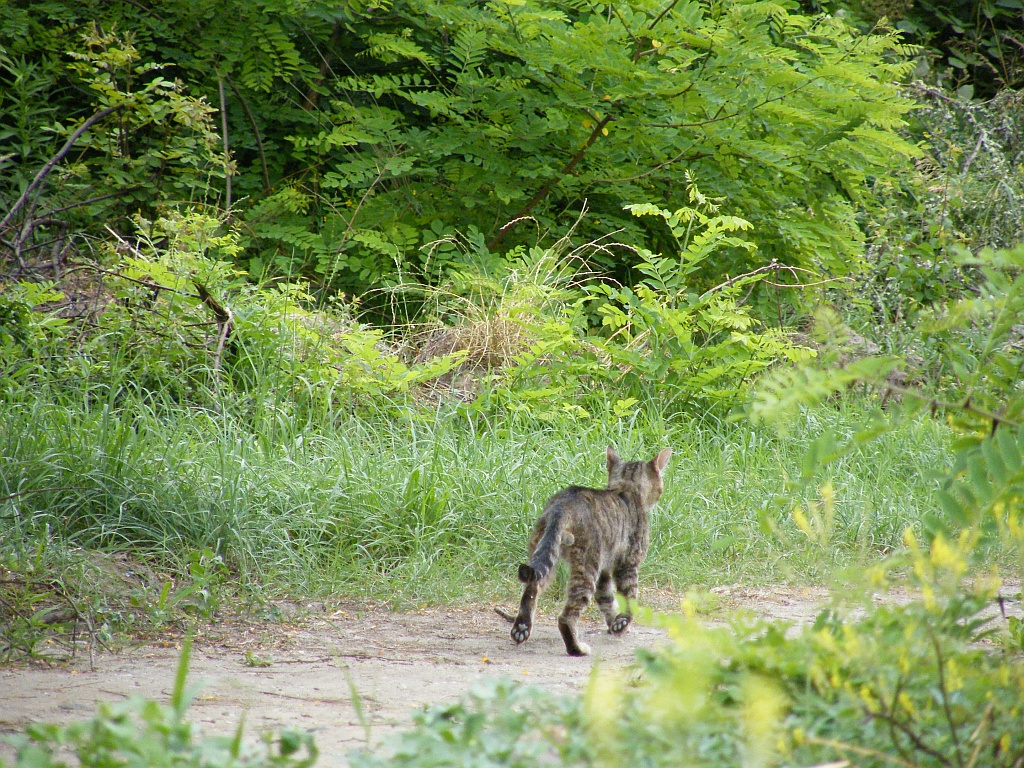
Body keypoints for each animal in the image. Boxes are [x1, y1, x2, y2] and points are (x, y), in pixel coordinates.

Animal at [501, 448, 671, 659]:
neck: (626, 490)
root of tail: (562, 504)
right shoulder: (628, 563)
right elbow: (629, 596)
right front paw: (621, 624)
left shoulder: (605, 570)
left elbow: (607, 599)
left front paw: (614, 624)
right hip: (587, 564)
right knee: (566, 616)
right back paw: (577, 649)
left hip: (543, 553)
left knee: (532, 589)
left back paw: (521, 628)